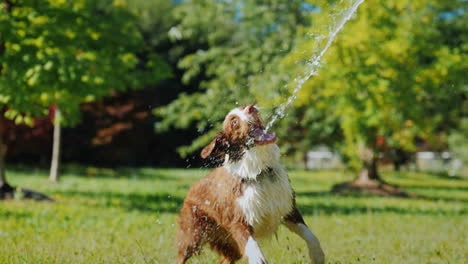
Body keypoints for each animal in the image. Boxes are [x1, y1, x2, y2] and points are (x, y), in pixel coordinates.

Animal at [176, 105, 326, 264]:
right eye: (234, 122)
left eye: (243, 107)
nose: (251, 108)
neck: (261, 172)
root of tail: (191, 188)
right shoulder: (239, 221)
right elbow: (255, 251)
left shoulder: (288, 209)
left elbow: (311, 235)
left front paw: (317, 255)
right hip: (193, 235)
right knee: (180, 256)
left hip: (230, 246)